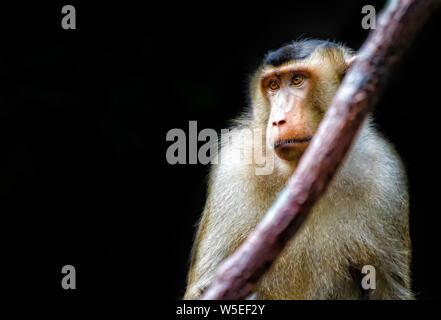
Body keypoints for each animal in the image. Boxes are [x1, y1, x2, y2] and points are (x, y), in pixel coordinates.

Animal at [183, 38, 412, 298]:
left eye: (296, 80)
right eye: (273, 85)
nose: (277, 120)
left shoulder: (386, 173)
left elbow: (390, 287)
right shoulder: (232, 170)